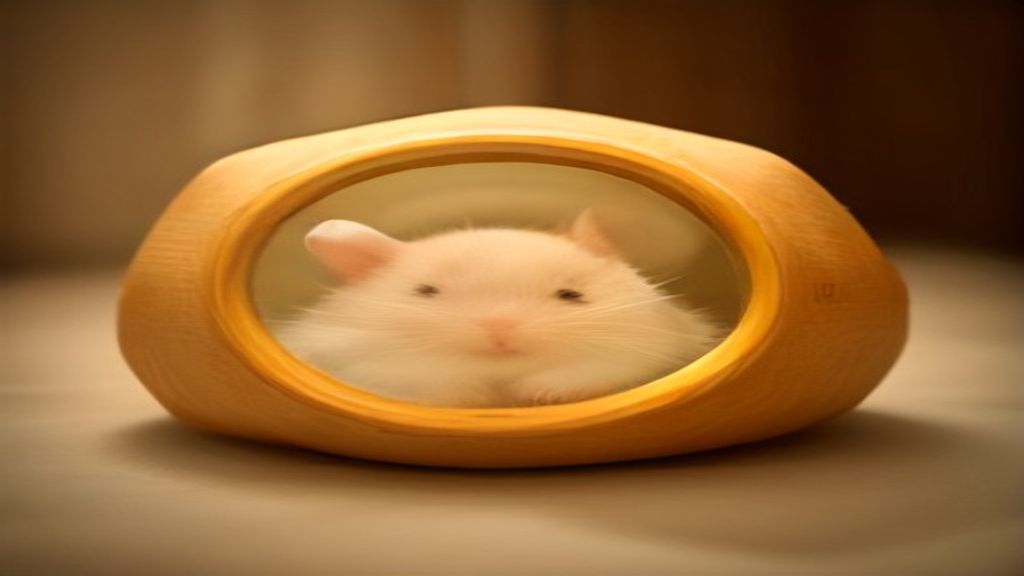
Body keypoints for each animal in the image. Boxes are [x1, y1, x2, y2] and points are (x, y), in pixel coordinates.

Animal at [274, 211, 722, 408]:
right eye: (426, 291)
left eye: (571, 295)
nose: (501, 332)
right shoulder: (364, 361)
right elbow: (432, 381)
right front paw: (481, 396)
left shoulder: (642, 349)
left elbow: (590, 371)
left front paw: (536, 394)